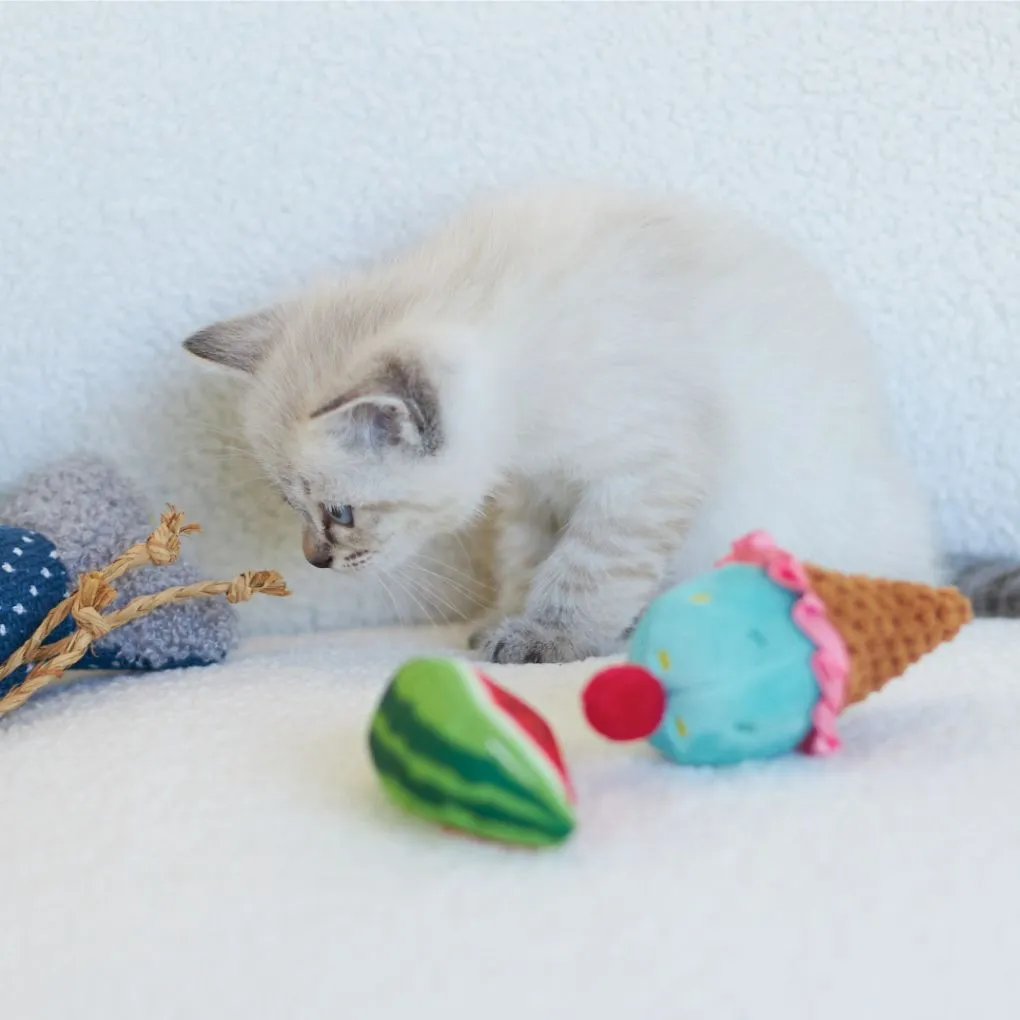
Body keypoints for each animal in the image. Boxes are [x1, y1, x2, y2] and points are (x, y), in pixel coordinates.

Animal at [183, 184, 938, 665]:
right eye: (290, 506)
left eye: (339, 512)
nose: (315, 559)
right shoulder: (535, 489)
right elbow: (527, 561)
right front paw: (505, 621)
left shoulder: (640, 476)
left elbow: (583, 570)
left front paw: (547, 639)